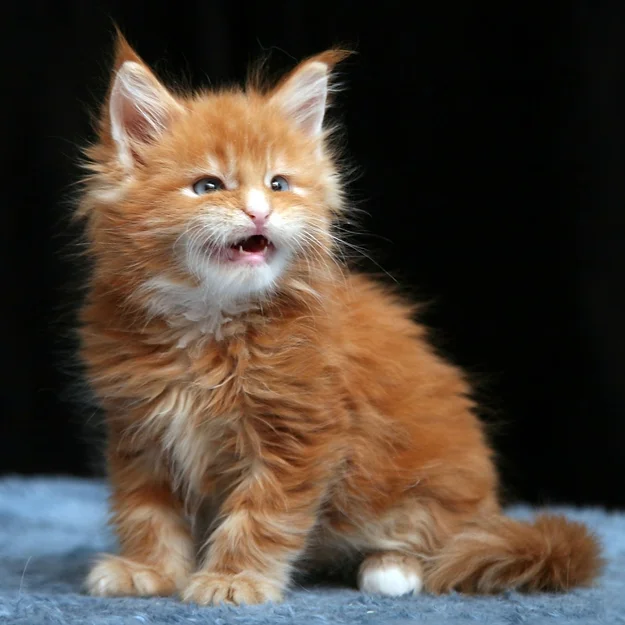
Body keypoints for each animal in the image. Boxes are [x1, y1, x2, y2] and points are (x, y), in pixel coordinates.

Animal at [77, 35, 600, 604]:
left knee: (447, 540)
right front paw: (147, 570)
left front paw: (233, 579)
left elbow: (261, 516)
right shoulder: (140, 430)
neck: (208, 320)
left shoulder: (302, 433)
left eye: (279, 184)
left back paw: (392, 569)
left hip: (431, 482)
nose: (260, 212)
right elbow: (148, 511)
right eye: (208, 187)